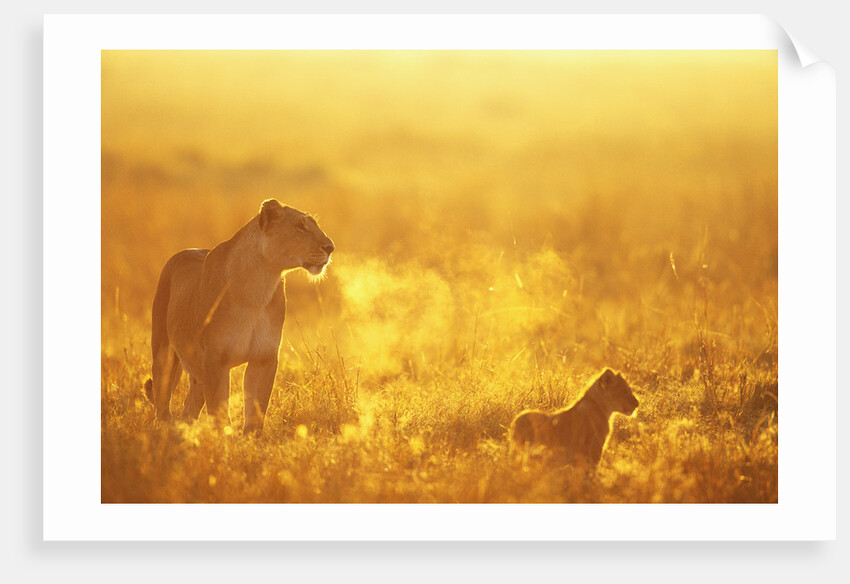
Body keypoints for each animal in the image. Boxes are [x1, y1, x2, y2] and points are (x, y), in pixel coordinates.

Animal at [143, 198, 334, 434]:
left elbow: (255, 413)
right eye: (300, 226)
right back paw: (168, 430)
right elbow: (220, 413)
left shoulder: (263, 358)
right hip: (165, 353)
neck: (258, 288)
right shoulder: (215, 360)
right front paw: (224, 439)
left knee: (189, 409)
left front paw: (250, 441)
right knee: (162, 403)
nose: (330, 247)